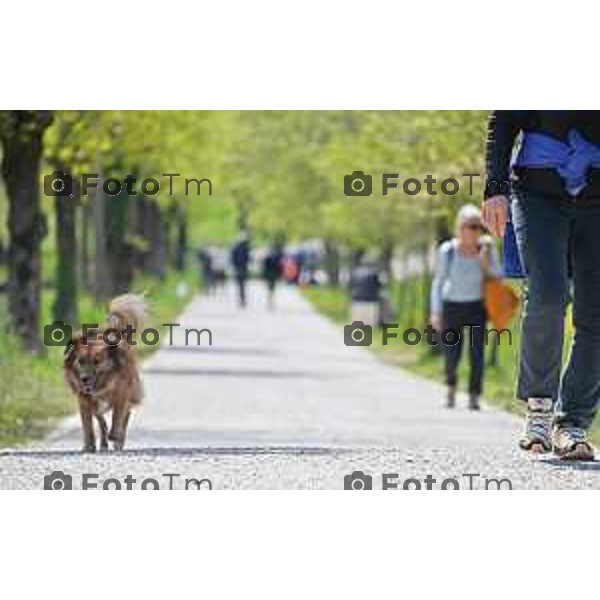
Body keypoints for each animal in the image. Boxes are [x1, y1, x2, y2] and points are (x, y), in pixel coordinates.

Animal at [63, 292, 148, 452]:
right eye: (80, 361)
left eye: (97, 361)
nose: (84, 379)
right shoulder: (84, 398)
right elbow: (89, 424)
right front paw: (89, 445)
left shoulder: (121, 393)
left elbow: (117, 416)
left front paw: (114, 435)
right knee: (101, 420)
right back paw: (103, 443)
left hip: (130, 390)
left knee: (125, 415)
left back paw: (117, 440)